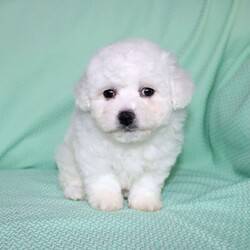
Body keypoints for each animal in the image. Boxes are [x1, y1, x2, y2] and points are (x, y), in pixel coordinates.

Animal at [56, 39, 193, 211]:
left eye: (147, 91)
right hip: (66, 155)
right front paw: (106, 199)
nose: (126, 116)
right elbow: (104, 179)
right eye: (109, 93)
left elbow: (147, 182)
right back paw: (76, 190)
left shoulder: (158, 161)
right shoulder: (94, 155)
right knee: (69, 176)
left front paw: (144, 201)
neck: (129, 144)